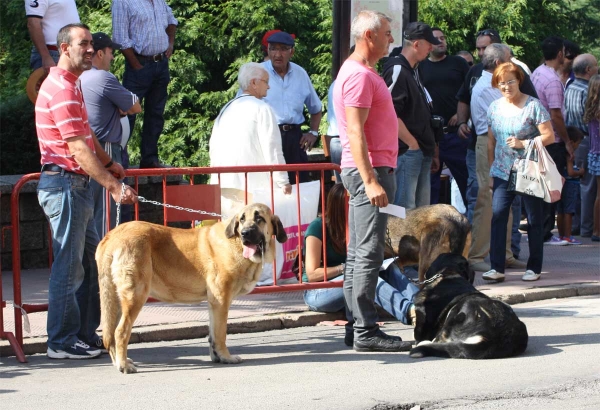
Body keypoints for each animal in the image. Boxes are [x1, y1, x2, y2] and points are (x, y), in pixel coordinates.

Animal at [95, 203, 286, 374]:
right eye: (242, 219)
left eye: (259, 219)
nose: (245, 233)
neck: (236, 243)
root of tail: (113, 235)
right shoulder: (221, 300)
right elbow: (221, 334)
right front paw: (226, 357)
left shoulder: (214, 303)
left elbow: (212, 334)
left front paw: (217, 356)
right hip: (136, 295)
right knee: (121, 331)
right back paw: (124, 366)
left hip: (116, 300)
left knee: (111, 332)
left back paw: (120, 362)